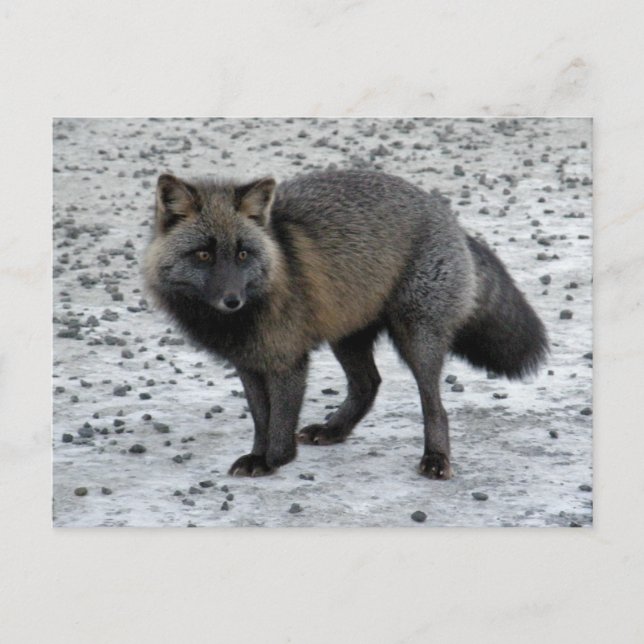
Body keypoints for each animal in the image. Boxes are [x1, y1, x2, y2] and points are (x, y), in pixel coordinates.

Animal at [144, 170, 548, 479]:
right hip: (346, 335)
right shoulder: (249, 361)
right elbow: (261, 418)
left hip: (417, 339)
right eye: (204, 254)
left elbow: (279, 421)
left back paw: (436, 458)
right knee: (368, 384)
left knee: (436, 408)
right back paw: (334, 430)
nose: (232, 300)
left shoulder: (288, 359)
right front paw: (258, 456)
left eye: (243, 253)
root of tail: (447, 213)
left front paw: (274, 461)